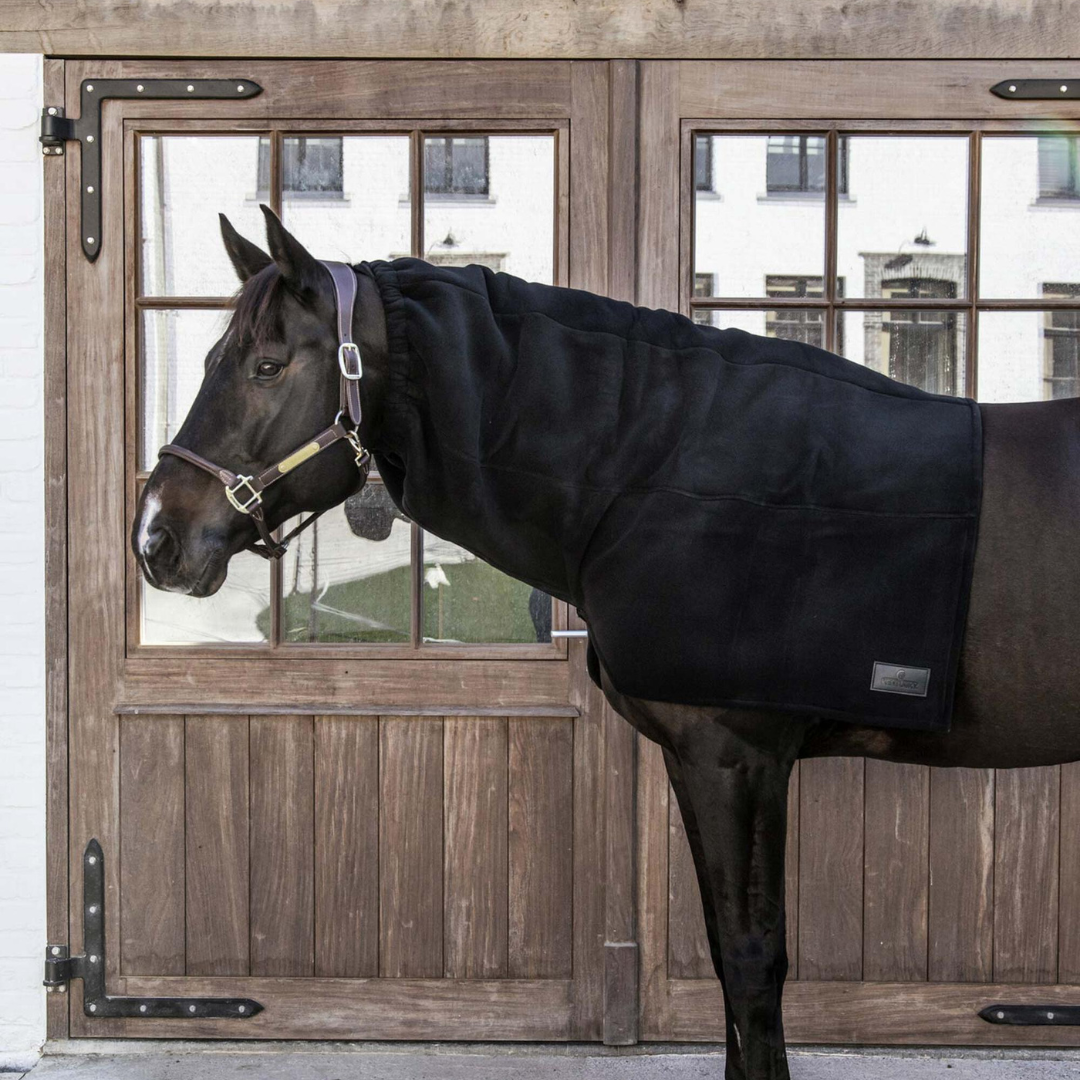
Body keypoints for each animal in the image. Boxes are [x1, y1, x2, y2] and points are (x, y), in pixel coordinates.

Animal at [132, 205, 1080, 1080]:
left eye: (266, 366)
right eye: (212, 359)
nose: (156, 539)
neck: (658, 467)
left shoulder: (736, 758)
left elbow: (752, 966)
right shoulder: (702, 762)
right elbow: (730, 970)